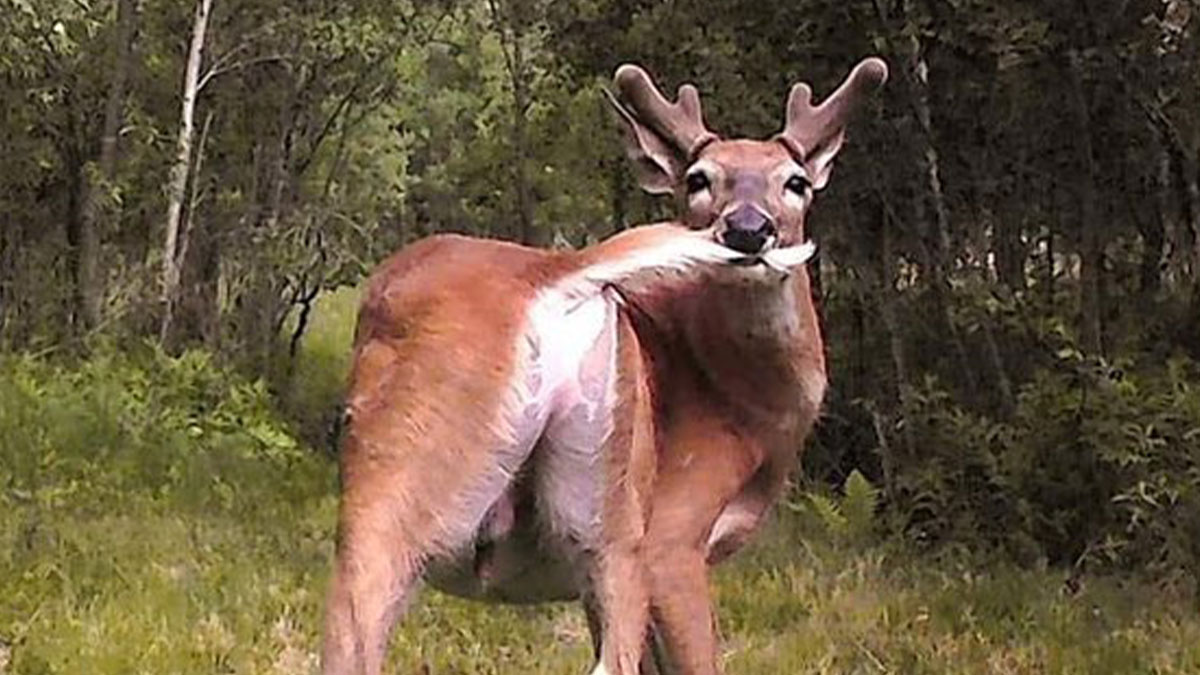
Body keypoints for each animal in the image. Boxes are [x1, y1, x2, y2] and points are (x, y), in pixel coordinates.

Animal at [321, 57, 888, 675]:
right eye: (698, 179)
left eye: (796, 181)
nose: (746, 229)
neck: (747, 413)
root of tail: (558, 275)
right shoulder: (674, 535)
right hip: (404, 476)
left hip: (599, 516)